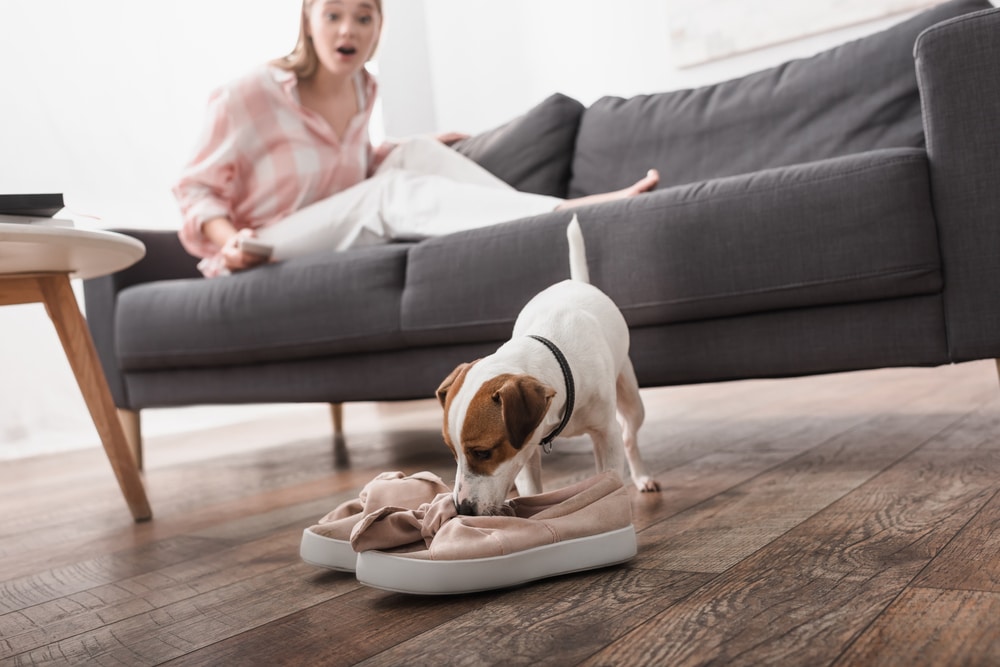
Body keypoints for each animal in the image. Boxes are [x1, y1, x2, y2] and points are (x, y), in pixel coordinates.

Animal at [436, 214, 656, 516]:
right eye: (452, 452)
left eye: (483, 452)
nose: (462, 509)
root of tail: (575, 281)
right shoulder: (526, 450)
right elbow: (531, 488)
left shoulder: (605, 434)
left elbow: (610, 474)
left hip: (631, 399)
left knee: (630, 436)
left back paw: (642, 475)